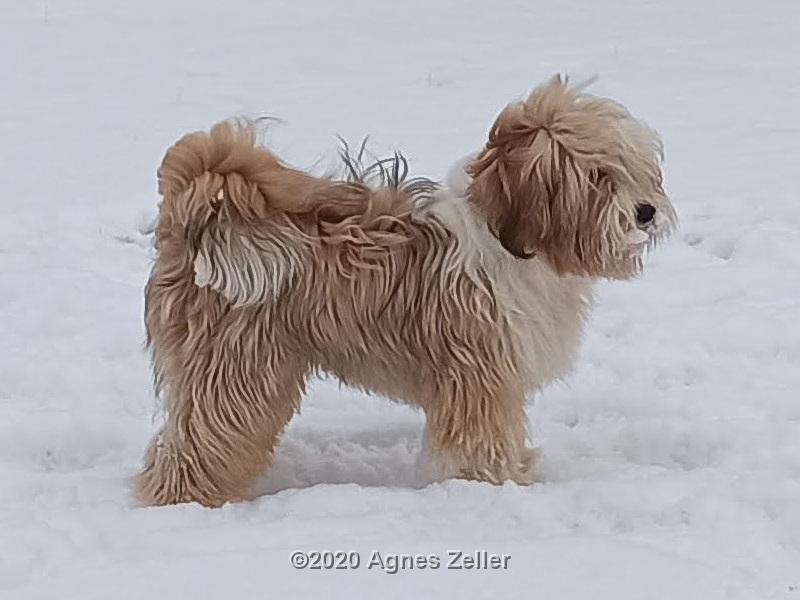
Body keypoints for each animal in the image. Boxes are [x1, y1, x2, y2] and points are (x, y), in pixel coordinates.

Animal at [138, 75, 676, 506]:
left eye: (635, 168)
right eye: (598, 176)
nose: (646, 212)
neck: (513, 243)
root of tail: (201, 214)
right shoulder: (479, 378)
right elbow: (480, 445)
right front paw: (492, 487)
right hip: (233, 368)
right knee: (197, 445)